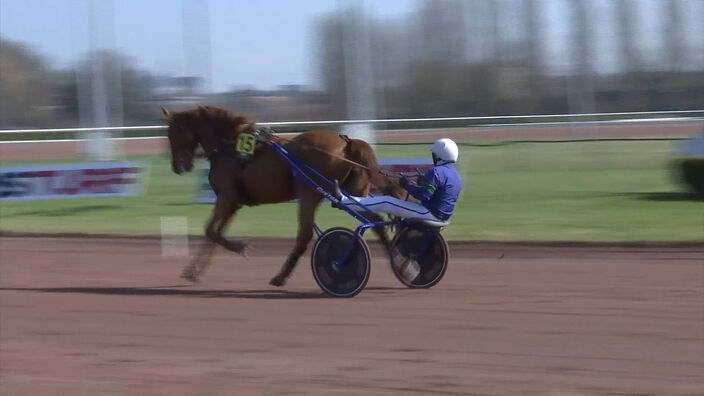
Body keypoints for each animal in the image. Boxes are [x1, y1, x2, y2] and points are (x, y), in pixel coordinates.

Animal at [163, 106, 404, 286]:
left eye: (172, 134)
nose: (177, 166)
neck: (229, 147)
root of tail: (347, 142)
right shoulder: (233, 203)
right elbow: (215, 234)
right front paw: (193, 272)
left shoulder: (226, 197)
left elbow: (210, 231)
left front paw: (240, 247)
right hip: (354, 192)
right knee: (376, 221)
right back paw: (399, 263)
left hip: (309, 193)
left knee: (305, 234)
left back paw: (282, 276)